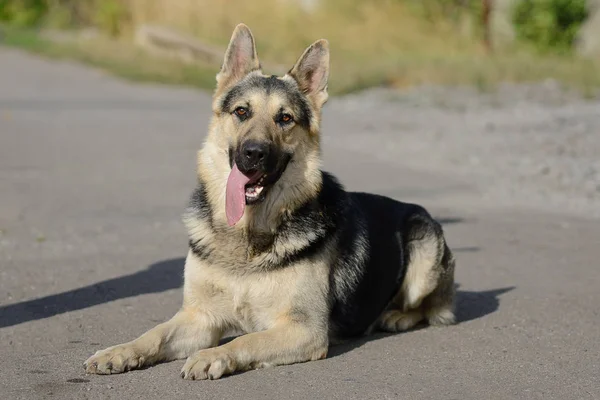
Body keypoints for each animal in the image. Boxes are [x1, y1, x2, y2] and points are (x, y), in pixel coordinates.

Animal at [84, 23, 458, 380]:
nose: (254, 153)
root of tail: (415, 209)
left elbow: (246, 339)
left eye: (285, 118)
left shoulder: (303, 329)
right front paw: (119, 352)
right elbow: (154, 334)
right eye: (241, 112)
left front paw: (212, 356)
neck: (248, 236)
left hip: (422, 249)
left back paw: (397, 316)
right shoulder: (199, 317)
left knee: (435, 308)